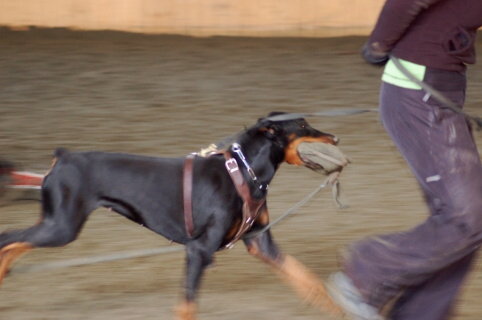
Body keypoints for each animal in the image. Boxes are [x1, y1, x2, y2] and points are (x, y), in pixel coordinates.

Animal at [0, 112, 340, 318]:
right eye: (304, 127)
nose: (336, 138)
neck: (243, 171)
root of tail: (62, 158)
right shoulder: (199, 250)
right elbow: (187, 305)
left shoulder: (259, 241)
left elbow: (304, 275)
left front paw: (332, 305)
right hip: (61, 227)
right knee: (9, 237)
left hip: (55, 223)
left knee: (15, 241)